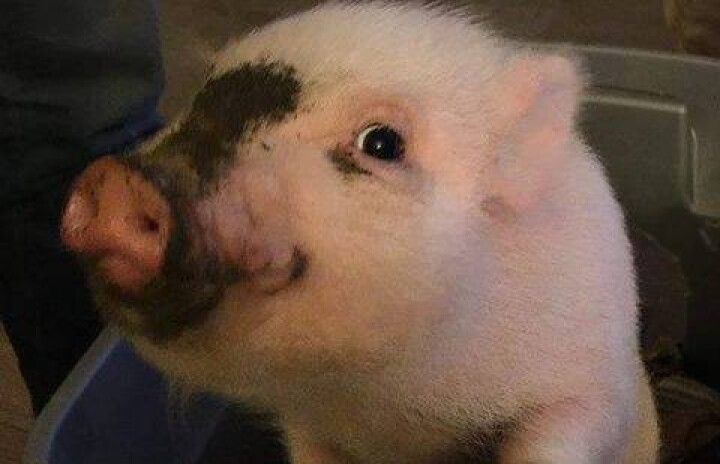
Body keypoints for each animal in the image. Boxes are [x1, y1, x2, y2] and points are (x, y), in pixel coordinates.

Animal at [61, 2, 659, 463]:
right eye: (201, 98)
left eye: (381, 142)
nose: (115, 181)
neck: (391, 399)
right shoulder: (306, 420)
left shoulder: (589, 390)